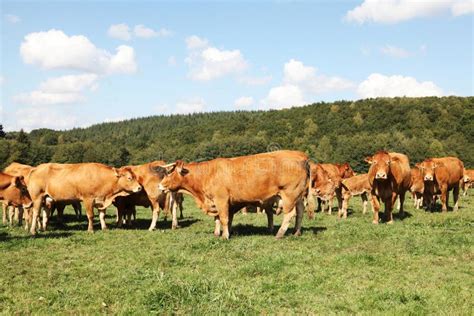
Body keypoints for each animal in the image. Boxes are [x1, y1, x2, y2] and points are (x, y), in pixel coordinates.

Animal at [158, 151, 312, 239]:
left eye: (170, 173)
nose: (159, 185)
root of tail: (301, 156)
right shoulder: (217, 202)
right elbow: (219, 219)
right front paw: (218, 233)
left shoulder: (221, 200)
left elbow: (224, 218)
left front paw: (225, 236)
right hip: (298, 196)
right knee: (300, 212)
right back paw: (296, 232)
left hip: (289, 194)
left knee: (290, 214)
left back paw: (279, 234)